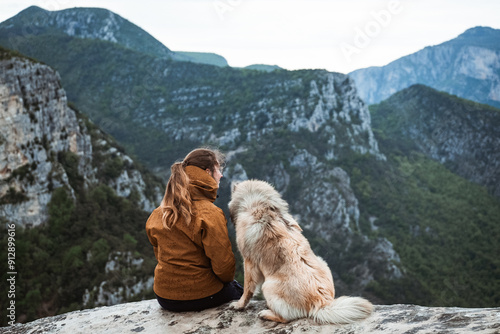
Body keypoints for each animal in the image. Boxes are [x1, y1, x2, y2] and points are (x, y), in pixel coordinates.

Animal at [229, 180, 374, 324]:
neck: (259, 206)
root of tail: (320, 302)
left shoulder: (249, 262)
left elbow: (248, 288)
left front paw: (239, 305)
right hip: (322, 262)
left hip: (268, 286)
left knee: (285, 318)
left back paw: (267, 314)